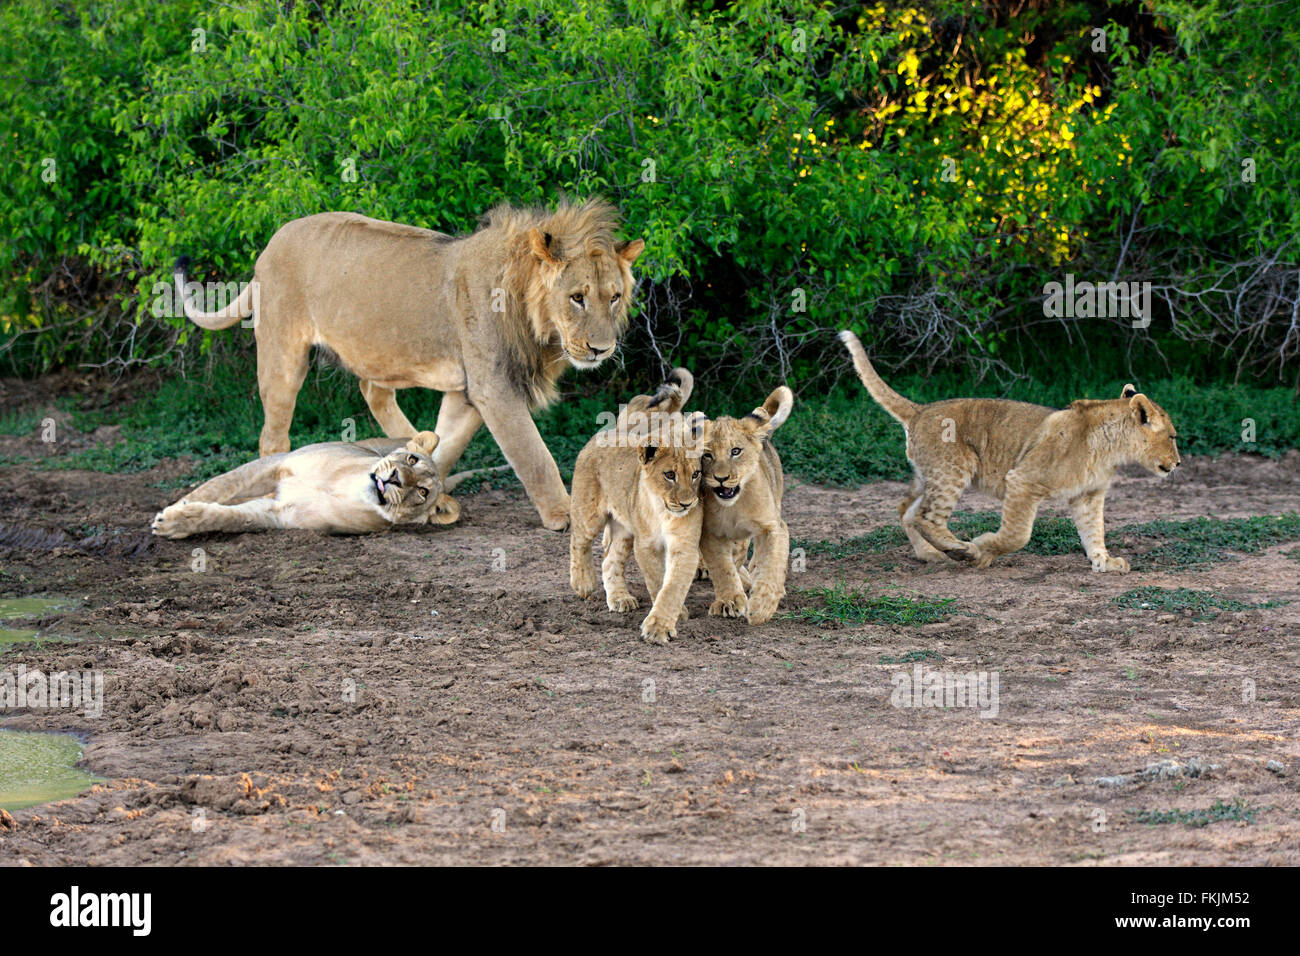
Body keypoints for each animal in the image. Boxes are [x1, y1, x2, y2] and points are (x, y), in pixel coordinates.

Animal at [174, 201, 644, 530]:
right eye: (577, 297)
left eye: (614, 297)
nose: (602, 349)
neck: (537, 323)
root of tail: (270, 245)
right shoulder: (493, 387)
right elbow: (534, 455)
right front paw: (564, 515)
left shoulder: (466, 391)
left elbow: (448, 442)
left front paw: (425, 475)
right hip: (282, 352)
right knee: (273, 434)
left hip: (379, 348)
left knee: (372, 391)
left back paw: (402, 438)